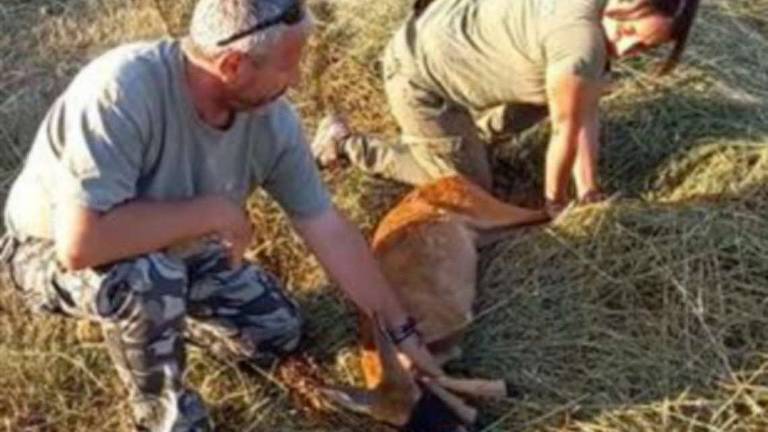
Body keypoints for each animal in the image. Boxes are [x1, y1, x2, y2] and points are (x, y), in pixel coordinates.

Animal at [320, 176, 548, 432]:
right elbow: (437, 371)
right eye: (394, 426)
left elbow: (435, 373)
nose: (459, 427)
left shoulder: (452, 323)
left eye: (422, 398)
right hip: (486, 233)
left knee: (544, 213)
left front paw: (494, 392)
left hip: (490, 212)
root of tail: (447, 178)